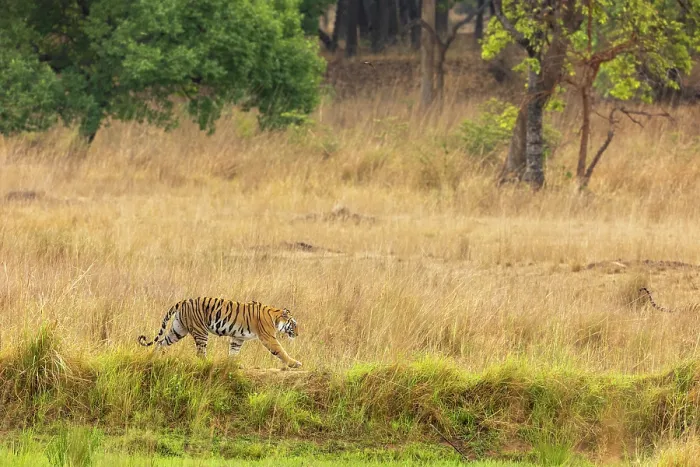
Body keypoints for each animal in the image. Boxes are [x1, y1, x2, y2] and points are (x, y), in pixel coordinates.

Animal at [137, 298, 302, 368]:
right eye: (294, 324)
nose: (298, 334)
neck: (275, 317)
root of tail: (183, 301)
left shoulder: (238, 338)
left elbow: (233, 352)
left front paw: (232, 365)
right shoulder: (268, 338)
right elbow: (281, 351)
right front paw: (294, 363)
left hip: (178, 330)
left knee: (161, 342)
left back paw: (152, 358)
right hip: (201, 331)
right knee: (200, 353)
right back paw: (208, 363)